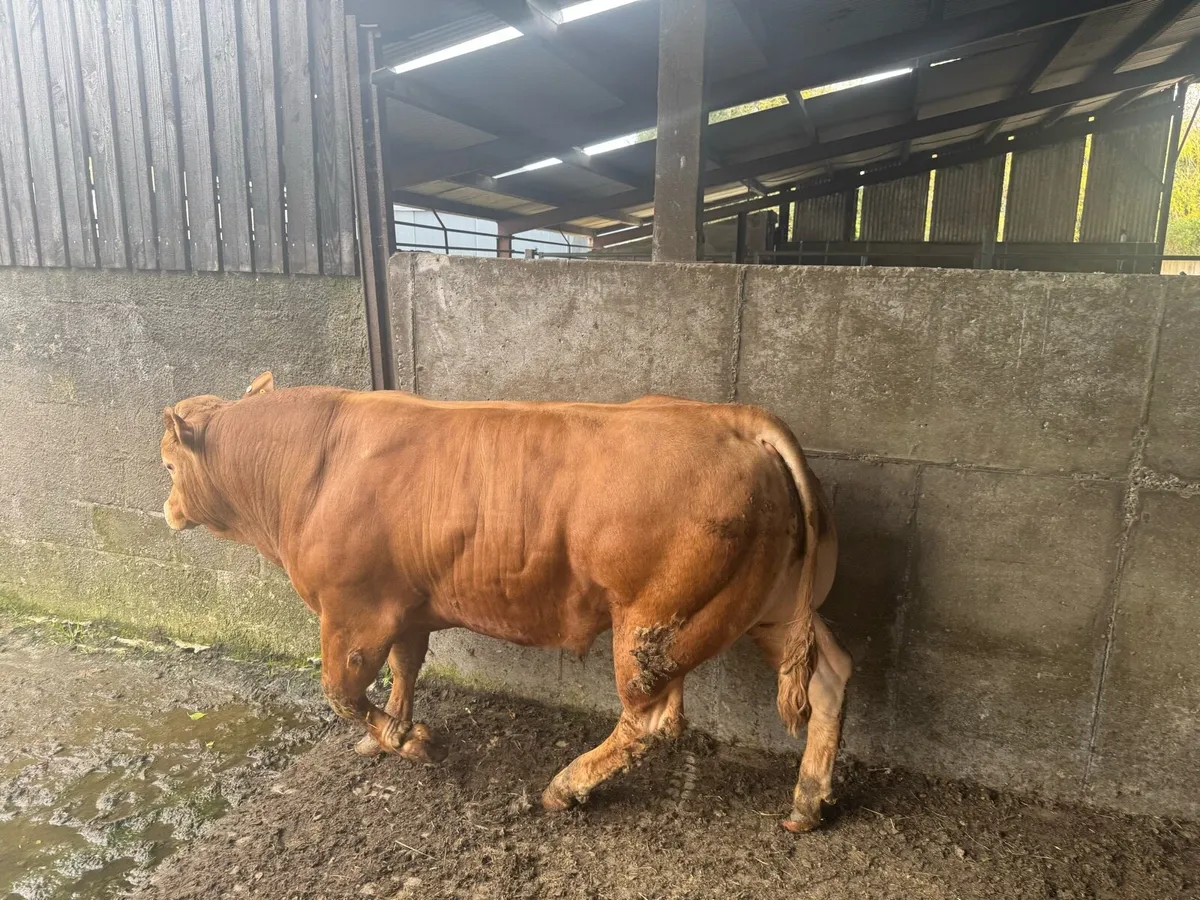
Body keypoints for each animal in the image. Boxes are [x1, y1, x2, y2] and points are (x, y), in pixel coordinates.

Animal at [159, 372, 852, 833]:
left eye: (167, 465)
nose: (166, 509)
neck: (315, 467)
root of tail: (733, 418)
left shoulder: (352, 612)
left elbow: (341, 693)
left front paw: (410, 744)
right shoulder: (406, 607)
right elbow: (405, 671)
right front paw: (395, 733)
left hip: (651, 624)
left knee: (649, 720)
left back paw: (565, 787)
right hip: (769, 606)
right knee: (831, 676)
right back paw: (808, 801)